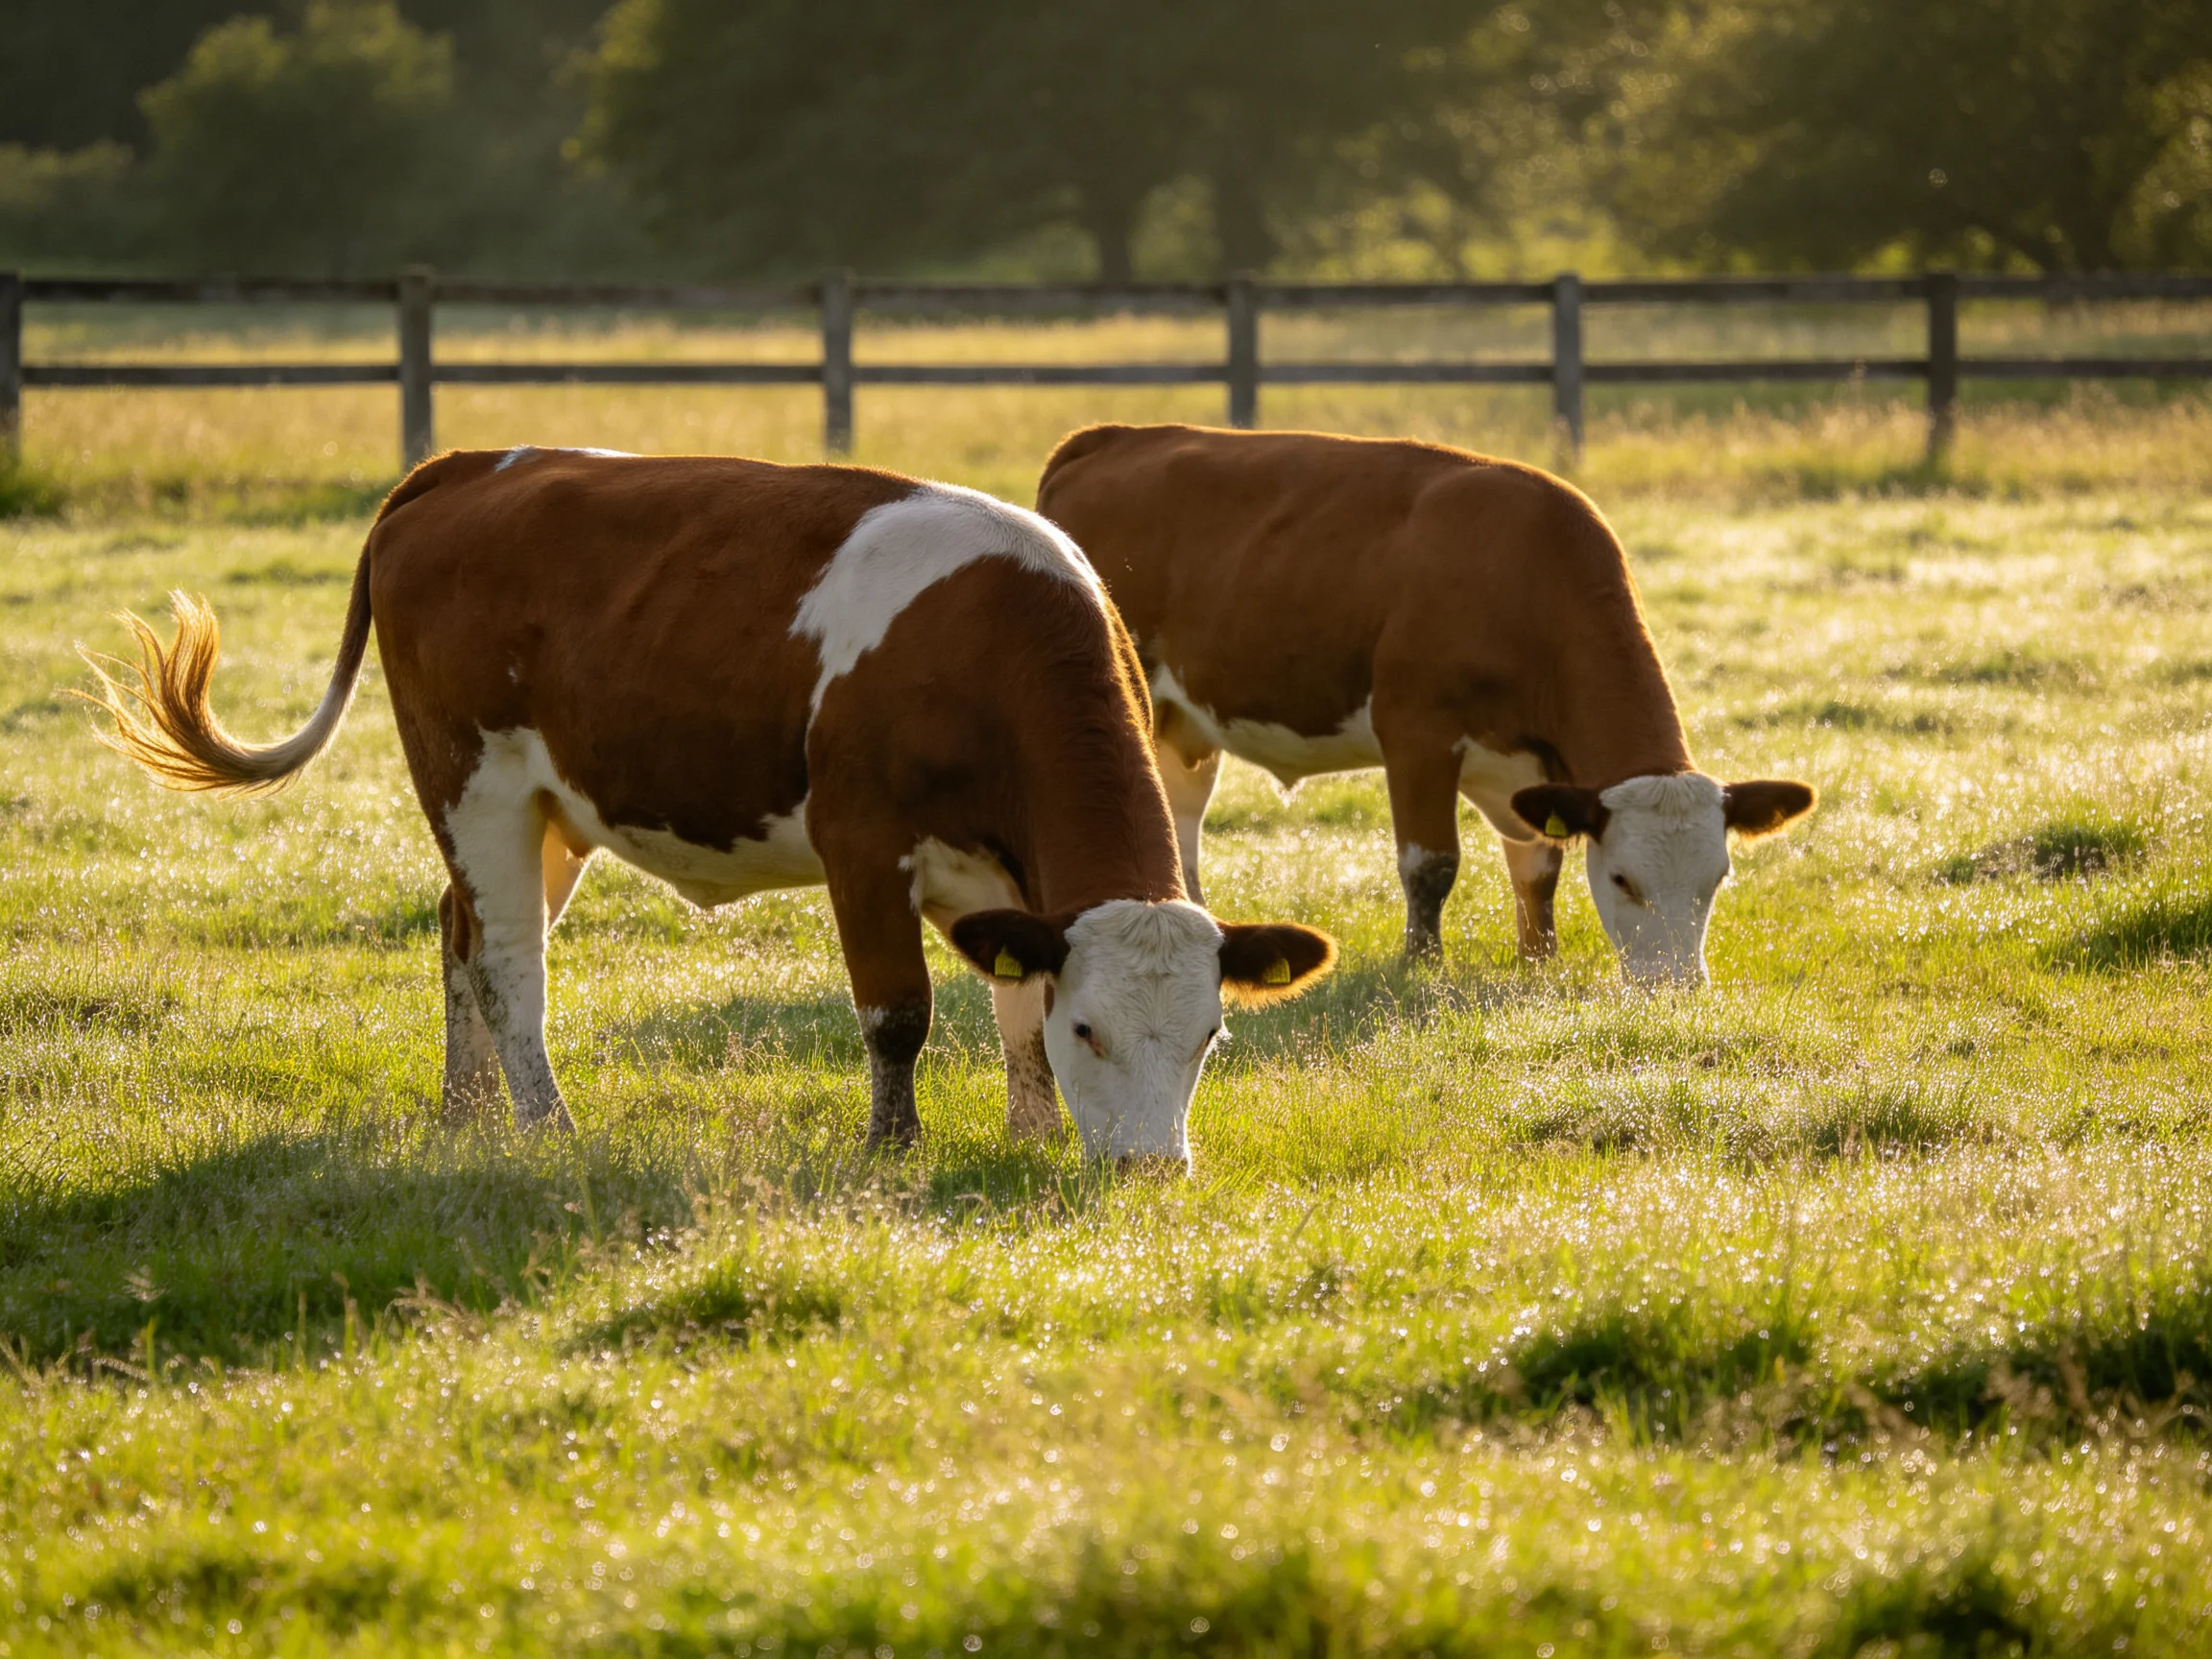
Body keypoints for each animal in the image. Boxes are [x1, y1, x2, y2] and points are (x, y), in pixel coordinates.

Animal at [81, 448, 1335, 1164]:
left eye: (1212, 1034)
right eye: (1095, 1032)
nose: (1150, 1169)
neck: (985, 645)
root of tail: (464, 467)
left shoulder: (1008, 881)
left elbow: (1010, 1005)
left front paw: (1028, 1136)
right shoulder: (860, 842)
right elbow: (900, 1014)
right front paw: (894, 1153)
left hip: (547, 808)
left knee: (460, 933)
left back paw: (467, 1115)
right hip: (474, 779)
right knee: (508, 964)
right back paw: (544, 1127)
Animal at [1035, 424, 1815, 986]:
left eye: (1718, 879)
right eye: (1624, 879)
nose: (1677, 985)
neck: (1525, 579)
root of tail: (1112, 437)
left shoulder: (1530, 770)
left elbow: (1538, 865)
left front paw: (1540, 960)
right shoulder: (1415, 734)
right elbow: (1430, 865)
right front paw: (1423, 965)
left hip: (1183, 722)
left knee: (1181, 815)